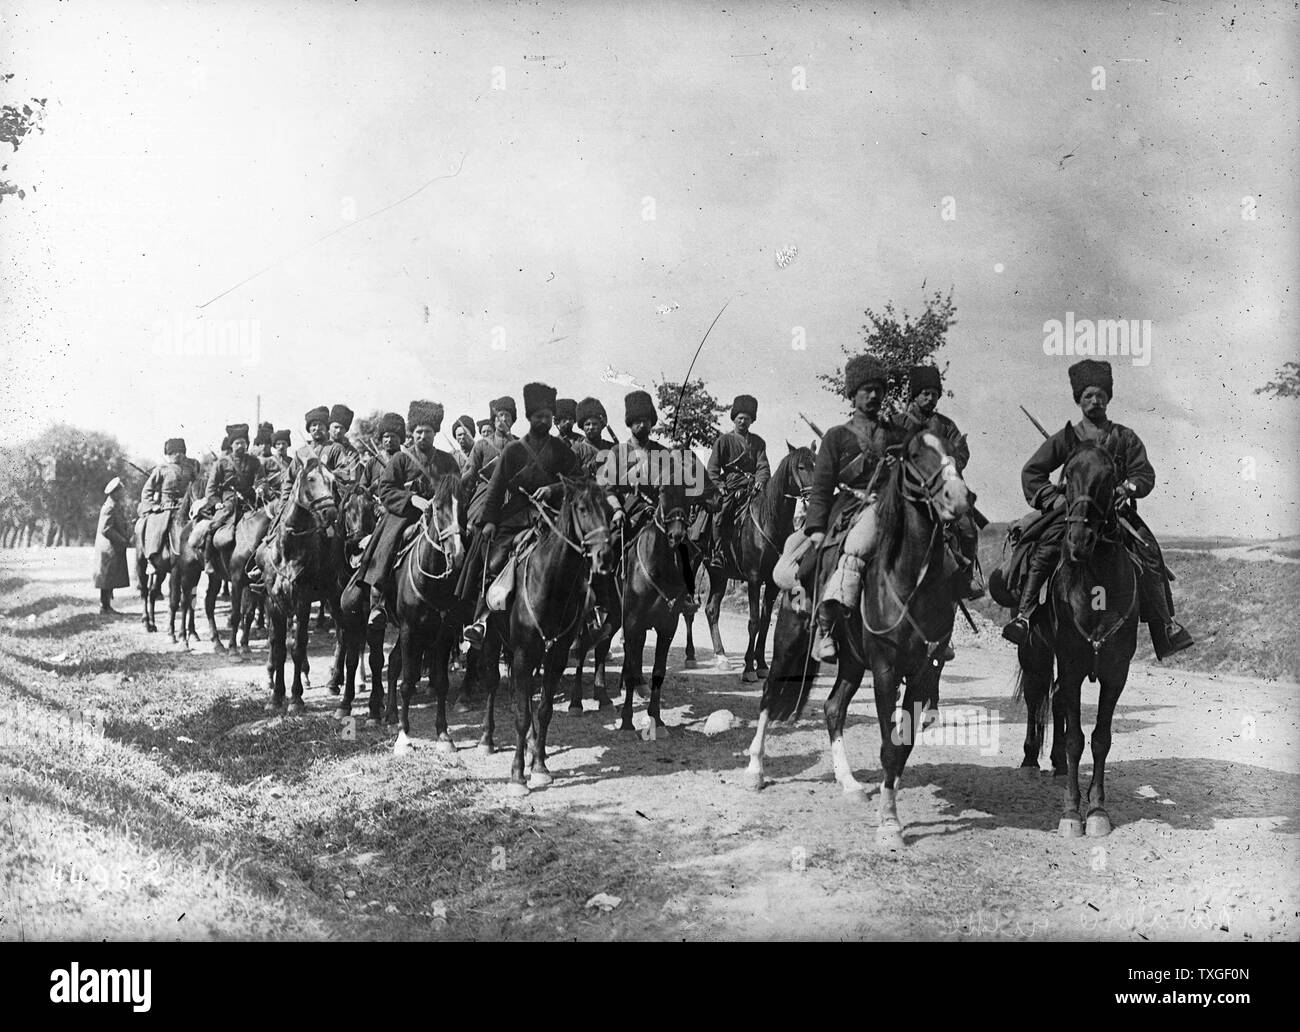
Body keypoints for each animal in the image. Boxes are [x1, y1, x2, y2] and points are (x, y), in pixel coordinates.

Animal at [483, 475, 613, 795]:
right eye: (582, 508)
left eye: (608, 510)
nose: (604, 556)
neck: (551, 585)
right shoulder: (521, 654)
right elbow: (521, 714)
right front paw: (518, 775)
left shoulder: (556, 655)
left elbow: (543, 710)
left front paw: (539, 765)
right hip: (492, 641)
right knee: (492, 683)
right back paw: (487, 739)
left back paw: (531, 747)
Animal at [696, 444, 806, 681]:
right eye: (802, 466)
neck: (770, 522)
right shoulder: (754, 579)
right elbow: (753, 622)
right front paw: (748, 668)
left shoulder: (772, 584)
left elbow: (765, 623)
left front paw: (762, 665)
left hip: (719, 575)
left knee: (711, 610)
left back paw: (721, 657)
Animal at [754, 431, 967, 847]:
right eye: (915, 455)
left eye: (957, 454)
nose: (959, 497)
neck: (909, 581)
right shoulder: (885, 670)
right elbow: (888, 746)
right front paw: (889, 824)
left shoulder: (922, 673)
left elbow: (903, 745)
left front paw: (888, 810)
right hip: (788, 641)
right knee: (770, 692)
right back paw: (754, 769)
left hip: (852, 663)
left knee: (833, 708)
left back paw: (849, 783)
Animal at [1013, 439, 1138, 831]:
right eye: (1068, 476)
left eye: (1110, 478)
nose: (1079, 540)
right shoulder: (1070, 666)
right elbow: (1074, 741)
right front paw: (1071, 812)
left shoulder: (1115, 674)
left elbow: (1099, 739)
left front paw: (1097, 810)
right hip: (1034, 651)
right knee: (1037, 694)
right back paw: (1030, 761)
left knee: (1055, 699)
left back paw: (1053, 764)